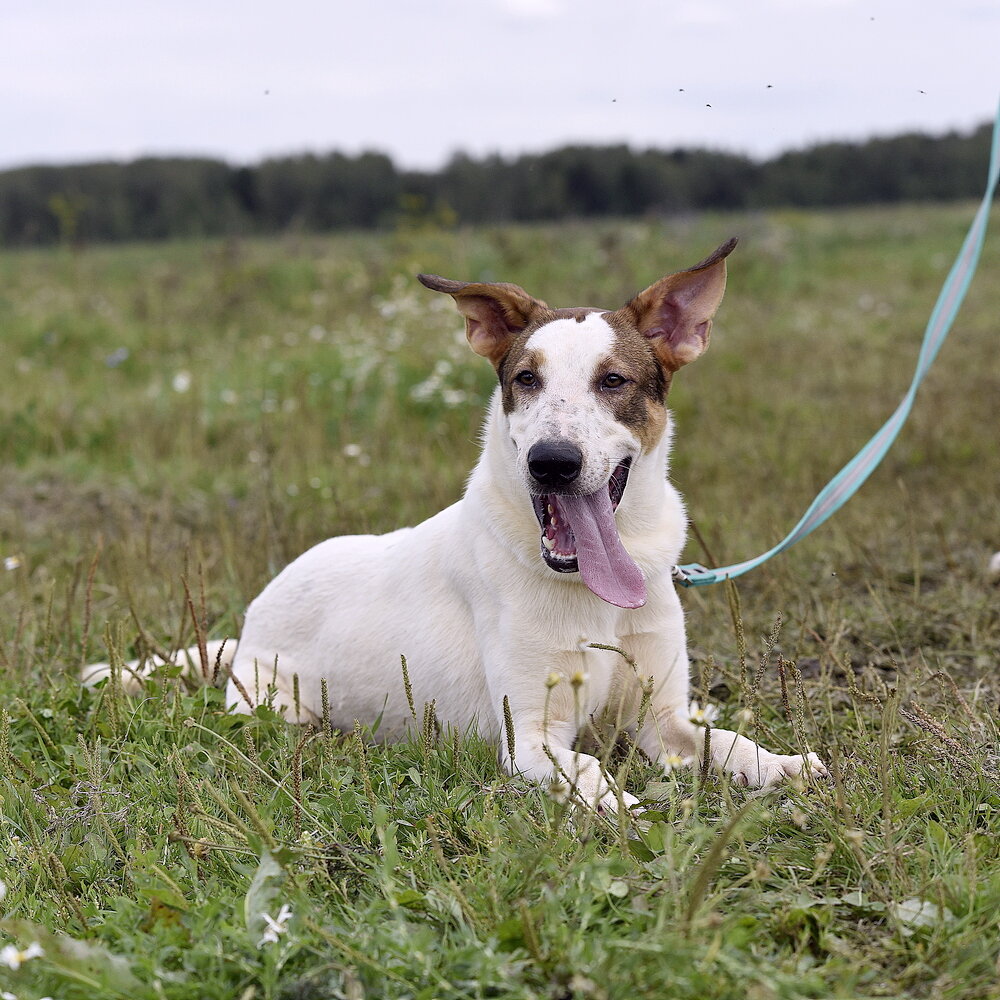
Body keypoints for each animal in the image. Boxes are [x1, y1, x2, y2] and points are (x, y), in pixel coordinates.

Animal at [86, 242, 824, 812]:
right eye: (525, 379)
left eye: (614, 381)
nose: (552, 462)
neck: (596, 596)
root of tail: (249, 623)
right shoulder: (530, 737)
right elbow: (588, 773)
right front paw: (620, 808)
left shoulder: (661, 714)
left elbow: (727, 742)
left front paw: (785, 766)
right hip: (278, 705)